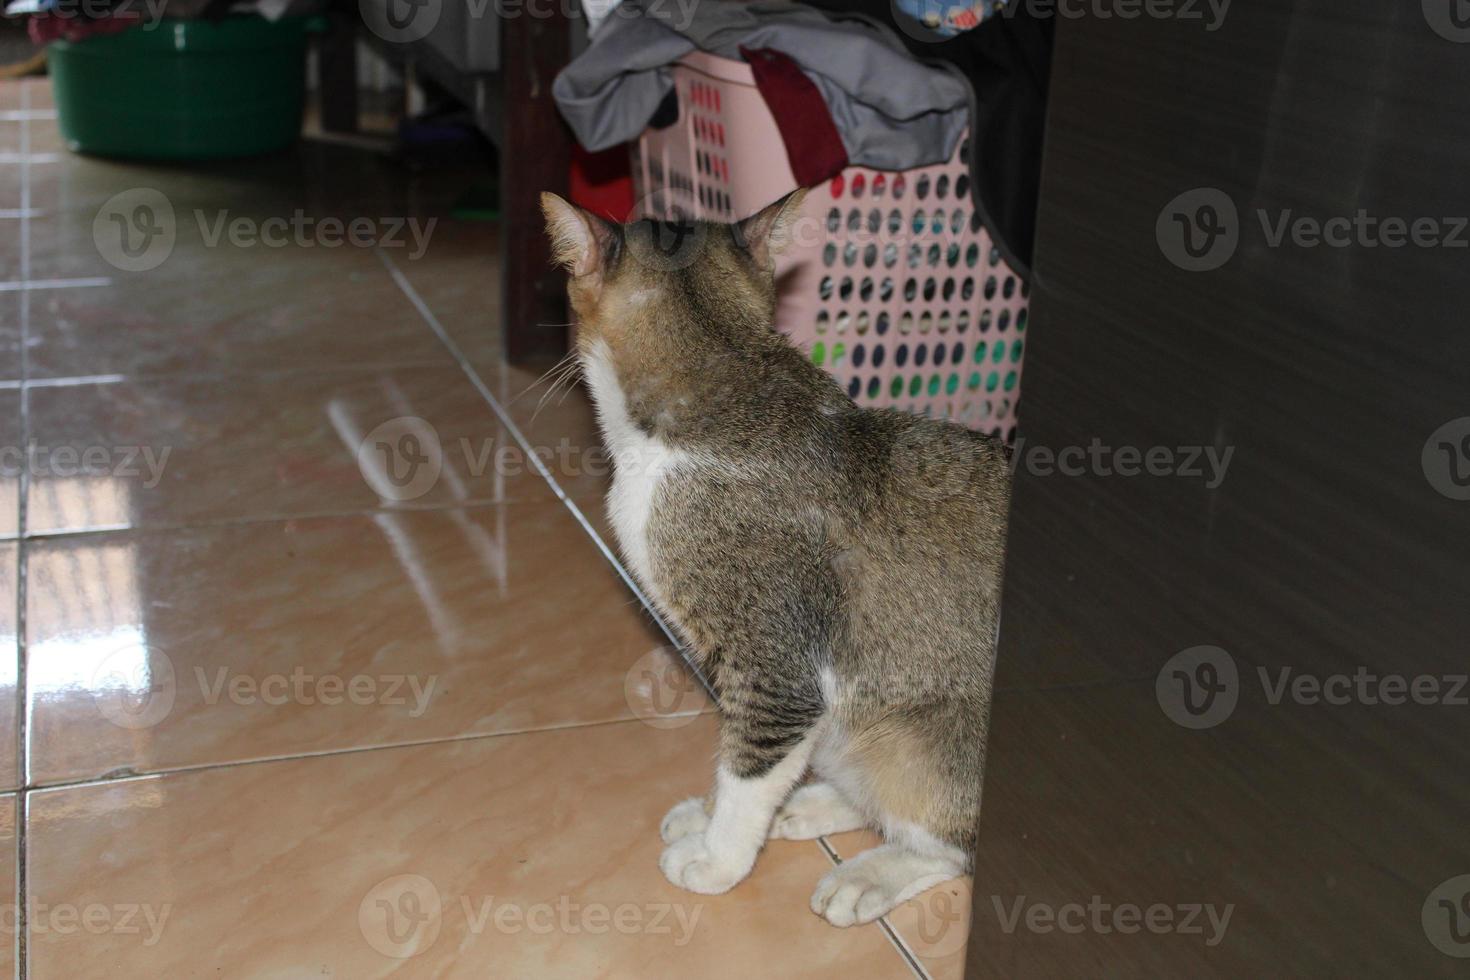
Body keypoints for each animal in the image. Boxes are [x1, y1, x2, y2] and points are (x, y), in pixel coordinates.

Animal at [540, 189, 1011, 928]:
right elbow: (743, 760)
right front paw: (714, 816)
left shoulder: (777, 667)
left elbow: (749, 768)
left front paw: (717, 858)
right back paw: (810, 806)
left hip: (923, 742)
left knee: (945, 842)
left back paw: (867, 874)